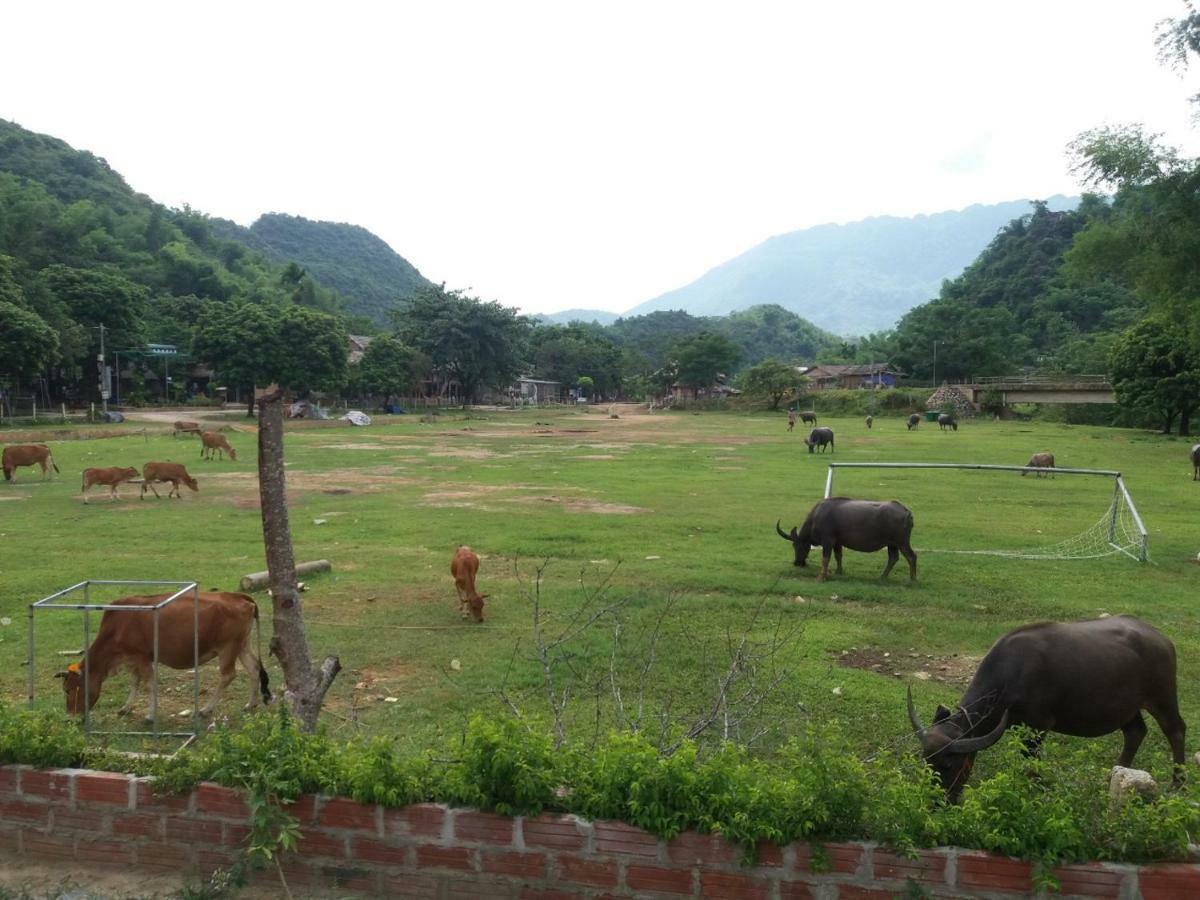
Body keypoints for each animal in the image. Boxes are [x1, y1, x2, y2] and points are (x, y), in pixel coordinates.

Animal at [56, 592, 270, 724]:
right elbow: (134, 681)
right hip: (242, 644)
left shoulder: (141, 656)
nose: (69, 718)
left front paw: (150, 715)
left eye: (68, 690)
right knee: (254, 668)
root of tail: (237, 595)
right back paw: (251, 703)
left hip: (227, 647)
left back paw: (205, 709)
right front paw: (126, 707)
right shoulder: (133, 658)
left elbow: (149, 684)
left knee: (228, 675)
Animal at [772, 501, 912, 585]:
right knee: (893, 558)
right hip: (892, 544)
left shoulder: (828, 541)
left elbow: (825, 559)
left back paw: (913, 579)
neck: (817, 516)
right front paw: (838, 572)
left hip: (902, 543)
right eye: (793, 546)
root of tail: (906, 512)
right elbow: (838, 556)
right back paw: (882, 577)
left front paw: (821, 577)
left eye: (801, 546)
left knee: (911, 557)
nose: (797, 563)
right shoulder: (837, 543)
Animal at [907, 619, 1180, 801]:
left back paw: (1177, 785)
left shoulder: (1037, 727)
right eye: (926, 760)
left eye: (950, 764)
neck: (1011, 673)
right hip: (1126, 708)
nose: (936, 800)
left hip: (1162, 698)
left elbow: (1032, 762)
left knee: (1175, 730)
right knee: (1135, 732)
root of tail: (1163, 640)